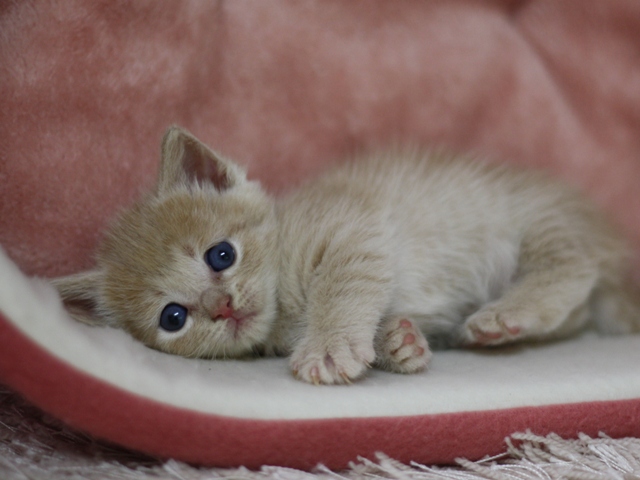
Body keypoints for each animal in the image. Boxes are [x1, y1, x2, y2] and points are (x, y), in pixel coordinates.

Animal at [52, 125, 640, 384]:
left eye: (221, 255)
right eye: (173, 318)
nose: (222, 306)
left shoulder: (354, 229)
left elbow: (343, 288)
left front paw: (331, 345)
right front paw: (397, 344)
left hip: (540, 220)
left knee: (572, 265)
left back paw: (505, 314)